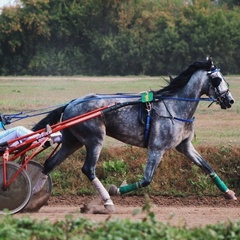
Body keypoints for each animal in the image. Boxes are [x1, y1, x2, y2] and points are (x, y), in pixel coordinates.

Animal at [31, 58, 236, 212]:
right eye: (217, 79)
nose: (230, 100)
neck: (175, 107)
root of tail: (71, 103)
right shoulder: (156, 148)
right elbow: (146, 180)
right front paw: (115, 190)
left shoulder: (185, 146)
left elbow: (207, 166)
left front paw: (229, 193)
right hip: (94, 139)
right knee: (88, 169)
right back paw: (108, 201)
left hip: (72, 142)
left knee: (50, 164)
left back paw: (33, 195)